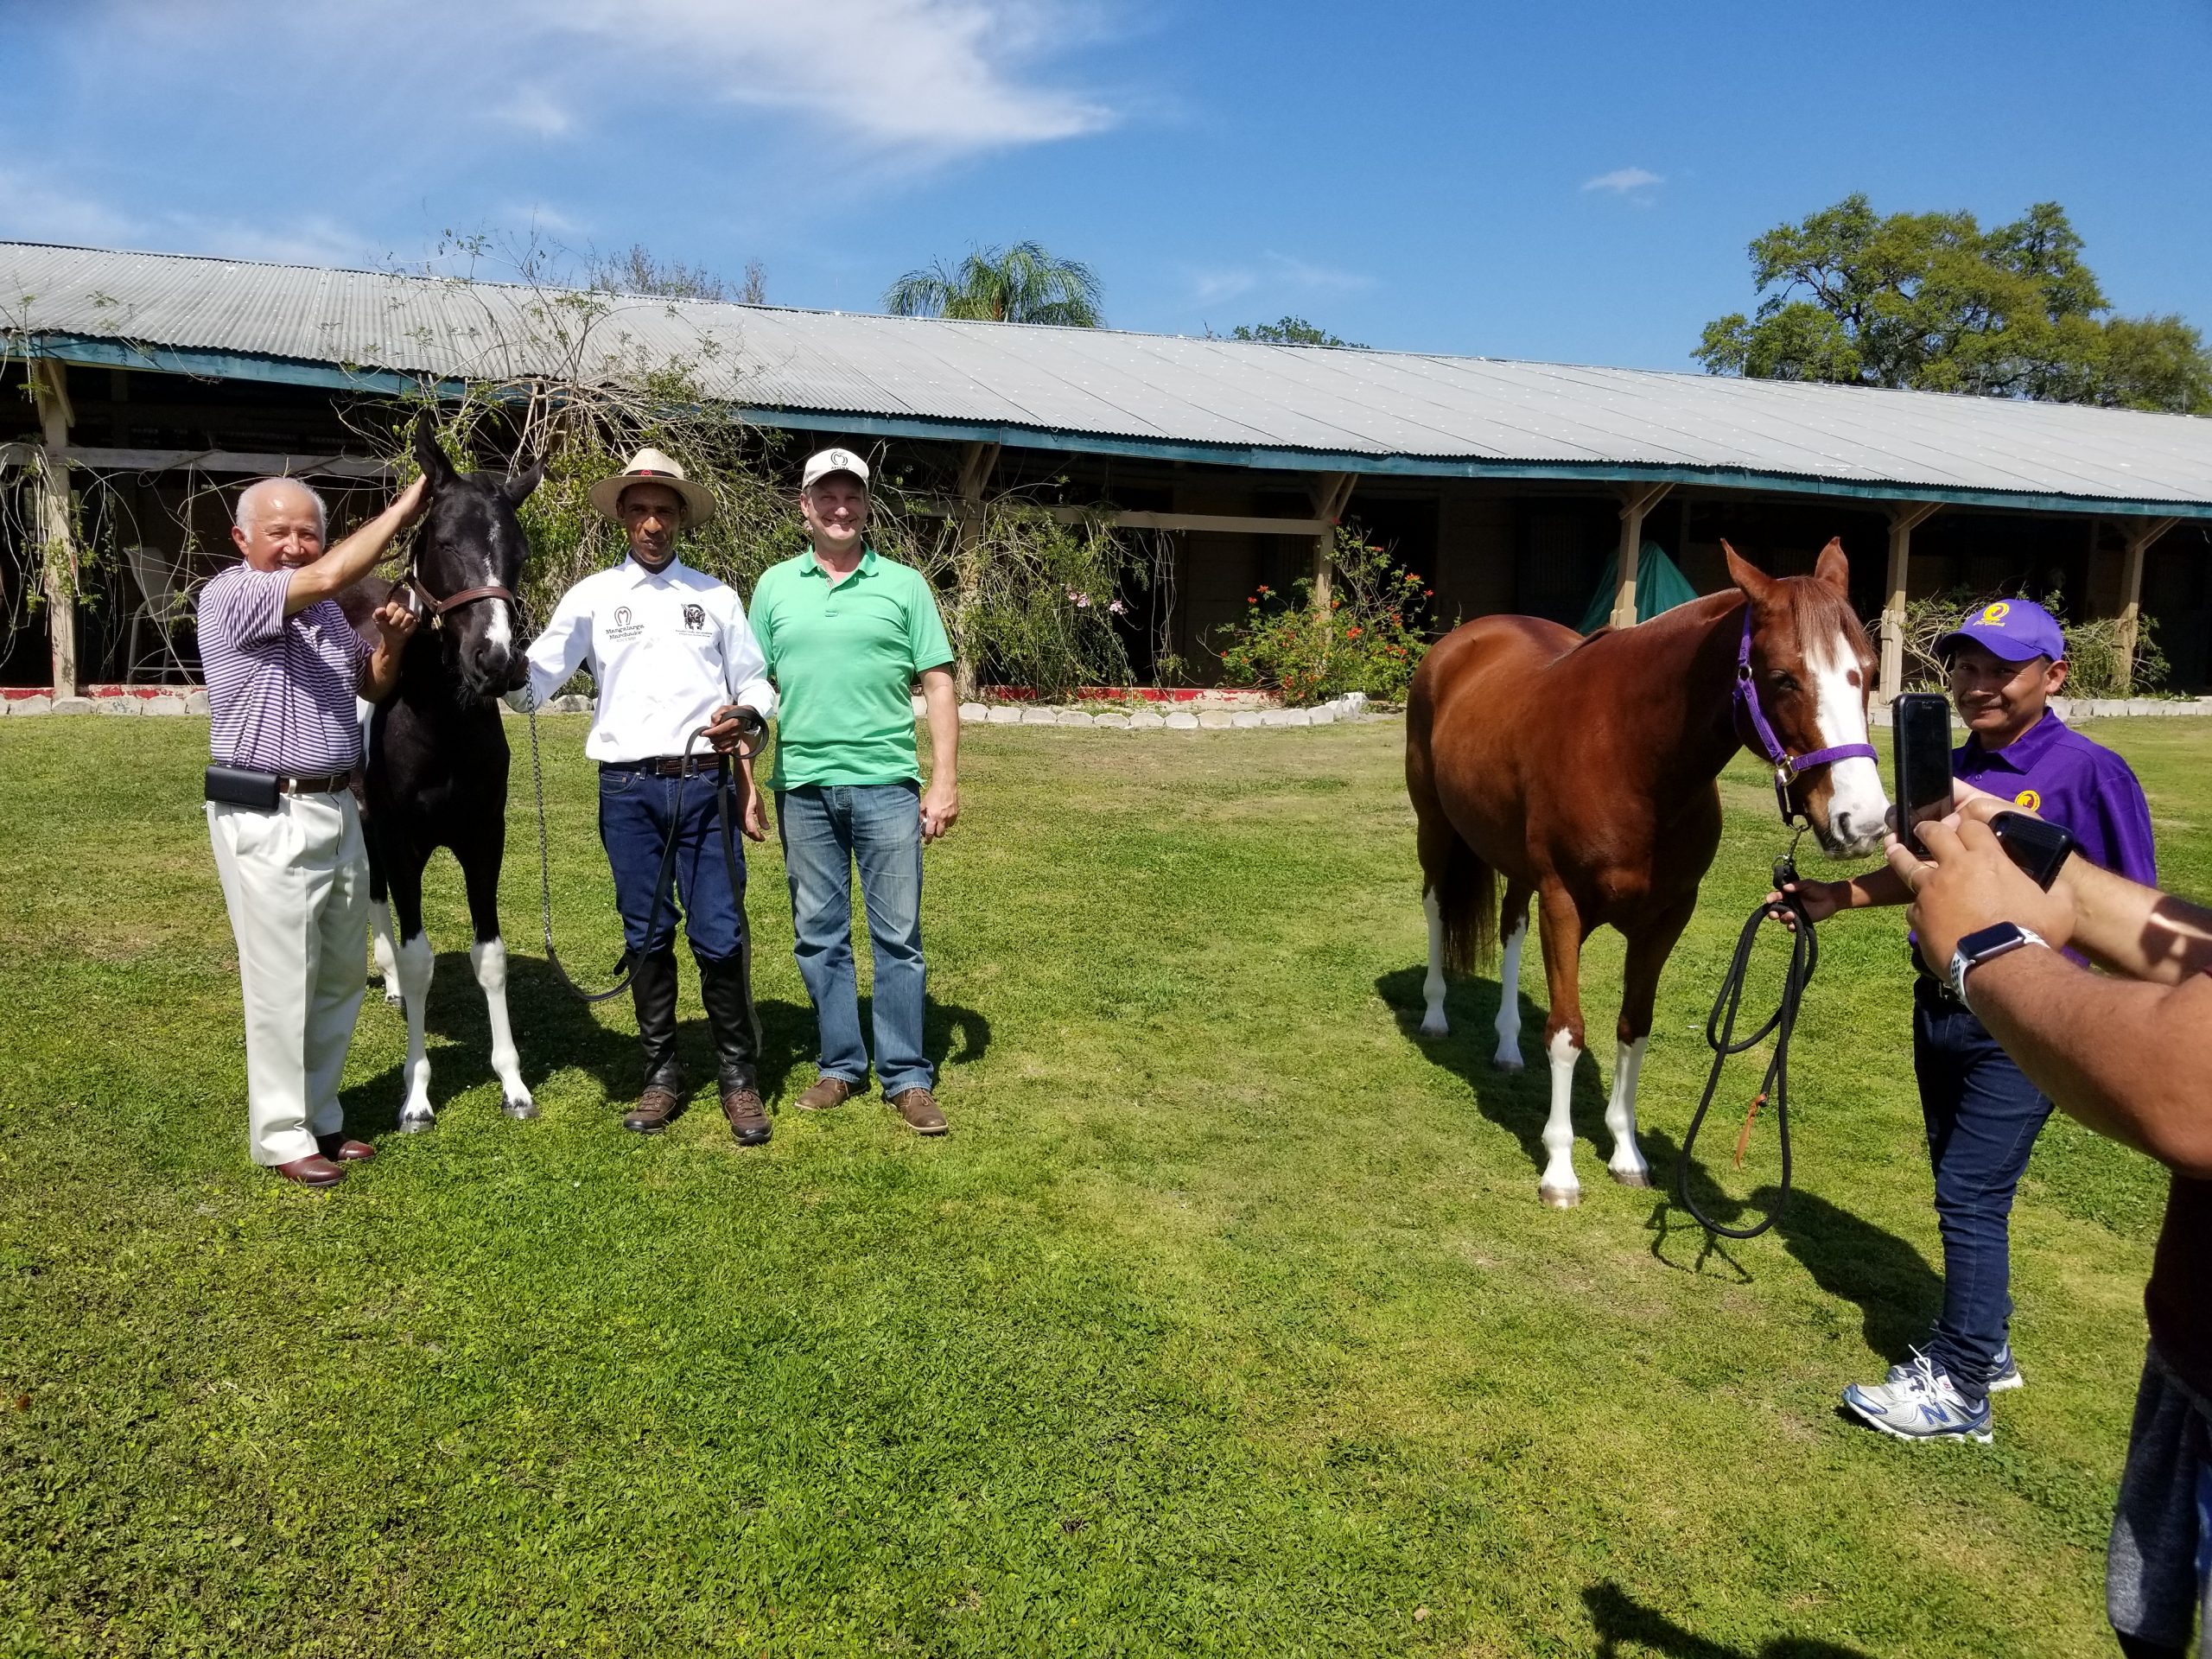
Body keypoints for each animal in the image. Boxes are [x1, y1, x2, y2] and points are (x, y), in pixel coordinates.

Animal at [352, 422, 550, 1141]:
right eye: (444, 543)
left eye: (519, 551)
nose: (495, 660)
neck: (437, 722)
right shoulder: (403, 842)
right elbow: (419, 960)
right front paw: (416, 1099)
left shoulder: (483, 838)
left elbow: (488, 956)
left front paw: (513, 1086)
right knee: (376, 901)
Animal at [1407, 546, 1893, 1211]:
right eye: (1783, 678)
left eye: (1867, 672)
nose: (1862, 822)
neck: (1630, 754)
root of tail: (1461, 642)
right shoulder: (1565, 904)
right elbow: (1567, 1032)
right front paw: (1560, 1171)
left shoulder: (1666, 917)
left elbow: (1634, 1028)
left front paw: (1626, 1155)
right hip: (1435, 829)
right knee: (1435, 907)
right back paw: (1434, 1016)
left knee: (1511, 928)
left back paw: (1507, 1047)